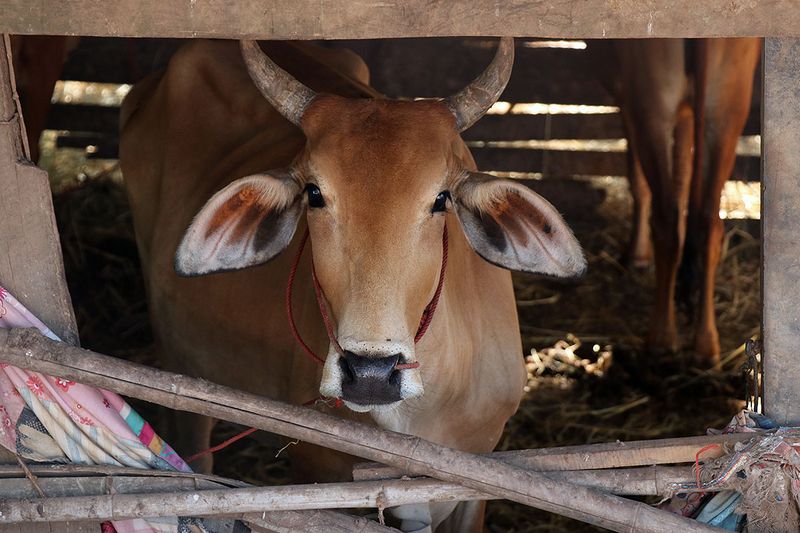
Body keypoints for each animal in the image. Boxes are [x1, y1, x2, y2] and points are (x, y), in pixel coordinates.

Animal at [592, 38, 760, 366]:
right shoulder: (687, 114)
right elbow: (683, 179)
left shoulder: (627, 99)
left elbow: (639, 179)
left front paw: (637, 254)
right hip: (727, 109)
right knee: (709, 223)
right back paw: (706, 343)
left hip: (652, 106)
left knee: (666, 217)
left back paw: (661, 337)